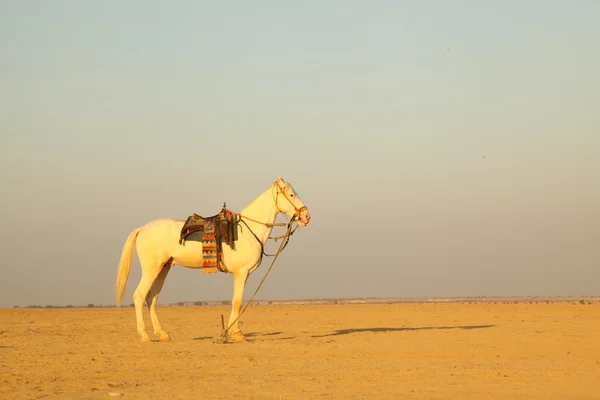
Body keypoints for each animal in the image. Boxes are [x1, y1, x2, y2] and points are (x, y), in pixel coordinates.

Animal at [113, 177, 310, 342]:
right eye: (291, 194)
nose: (306, 216)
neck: (248, 231)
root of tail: (142, 229)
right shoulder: (241, 273)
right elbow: (237, 301)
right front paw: (237, 334)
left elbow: (235, 301)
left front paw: (228, 332)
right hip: (151, 268)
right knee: (139, 296)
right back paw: (144, 335)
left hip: (163, 268)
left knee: (152, 298)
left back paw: (162, 334)